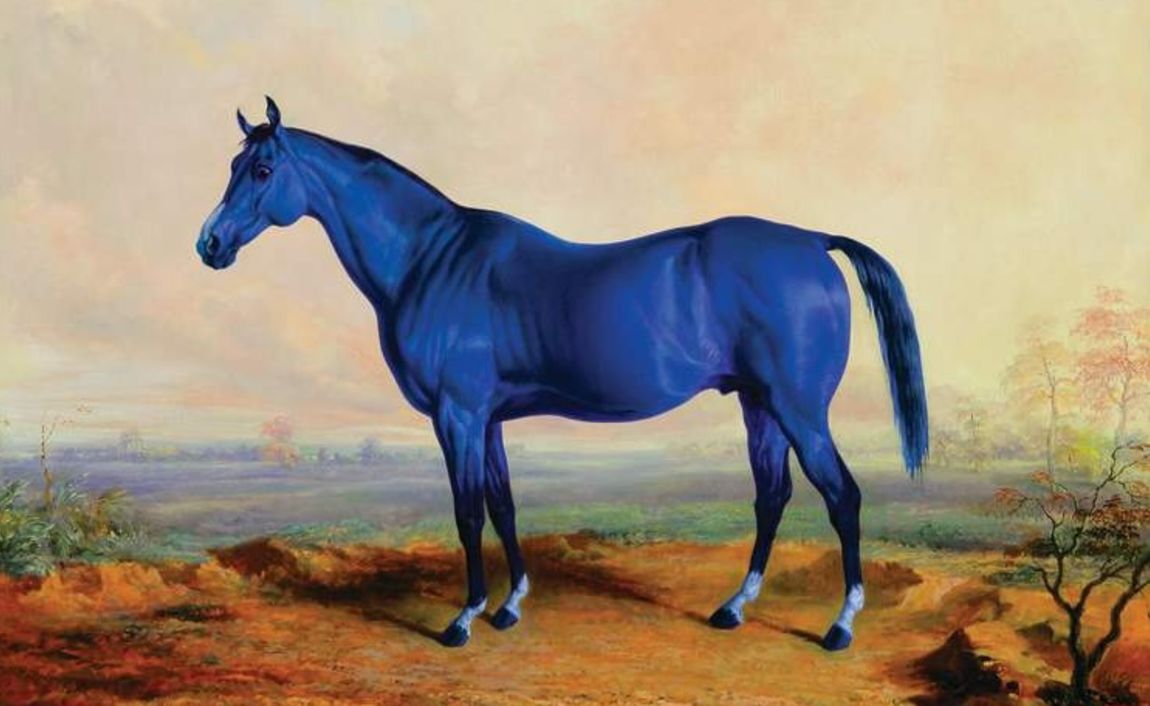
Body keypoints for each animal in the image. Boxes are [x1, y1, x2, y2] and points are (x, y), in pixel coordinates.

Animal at [197, 97, 928, 650]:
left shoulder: (457, 415)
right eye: (231, 164)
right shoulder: (487, 418)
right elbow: (503, 504)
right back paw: (732, 608)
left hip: (799, 409)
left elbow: (467, 512)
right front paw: (509, 606)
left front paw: (463, 619)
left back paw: (840, 626)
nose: (210, 244)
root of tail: (812, 241)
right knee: (772, 497)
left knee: (842, 498)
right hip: (759, 404)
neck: (431, 260)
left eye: (263, 168)